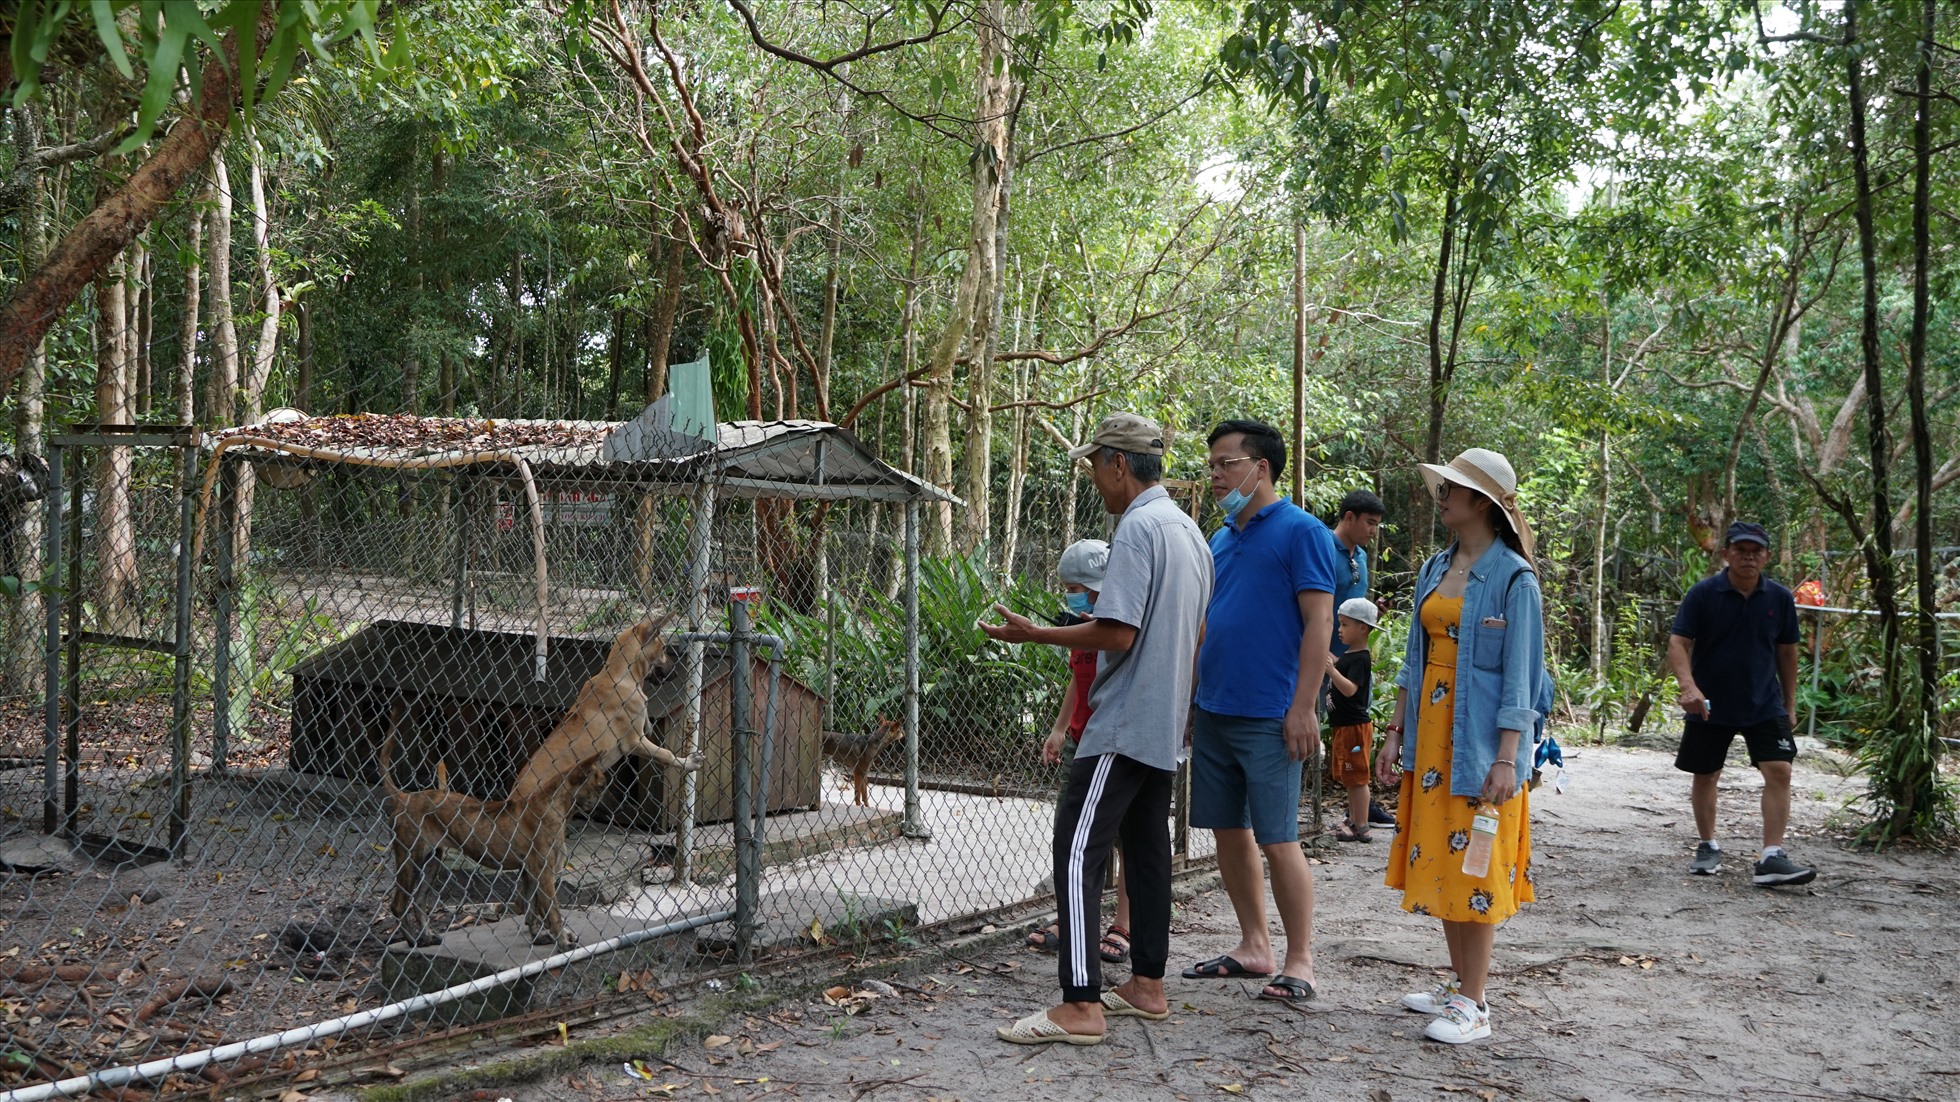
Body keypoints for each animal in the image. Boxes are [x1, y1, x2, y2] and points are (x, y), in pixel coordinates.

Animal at [376, 725, 603, 949]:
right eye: (599, 785)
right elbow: (551, 910)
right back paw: (412, 939)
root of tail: (404, 797)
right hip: (410, 858)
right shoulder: (543, 872)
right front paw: (562, 940)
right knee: (398, 905)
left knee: (418, 900)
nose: (600, 802)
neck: (555, 805)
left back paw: (426, 938)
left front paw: (538, 936)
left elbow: (531, 906)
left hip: (432, 861)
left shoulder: (529, 872)